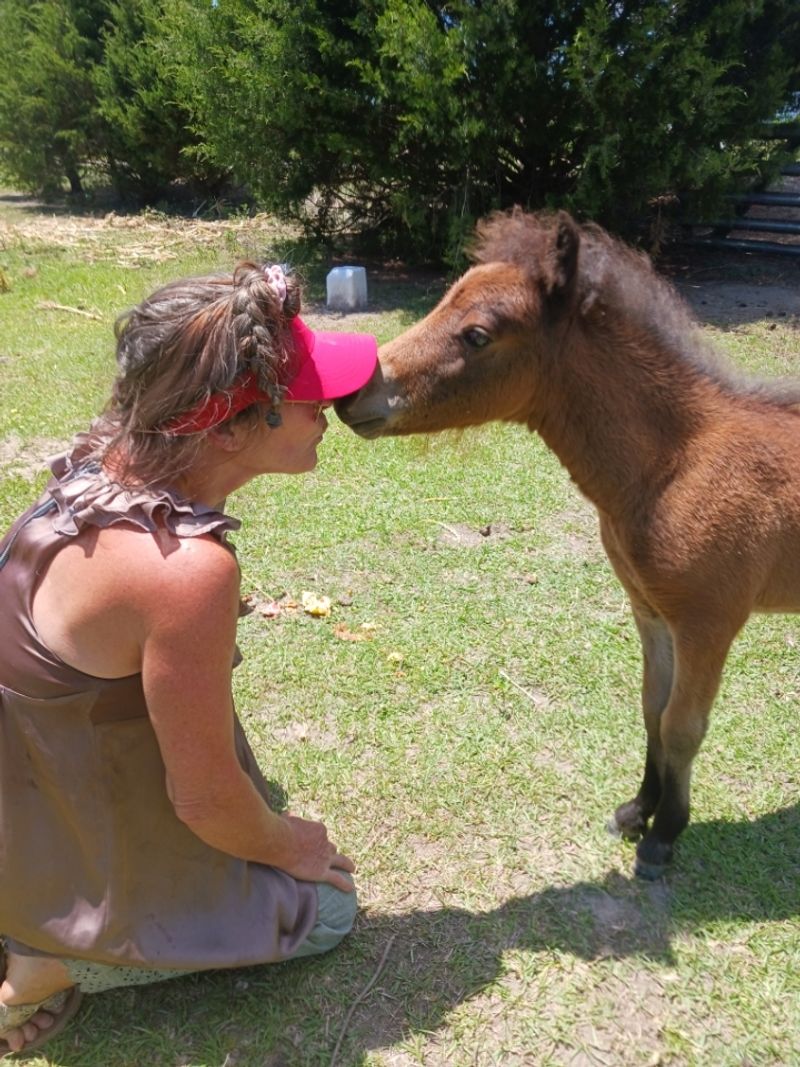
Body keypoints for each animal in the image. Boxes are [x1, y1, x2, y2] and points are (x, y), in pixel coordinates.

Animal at [335, 208, 800, 879]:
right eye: (443, 299)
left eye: (478, 335)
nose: (351, 395)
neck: (674, 463)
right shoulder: (651, 611)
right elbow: (652, 708)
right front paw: (637, 812)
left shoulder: (708, 622)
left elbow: (683, 725)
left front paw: (665, 836)